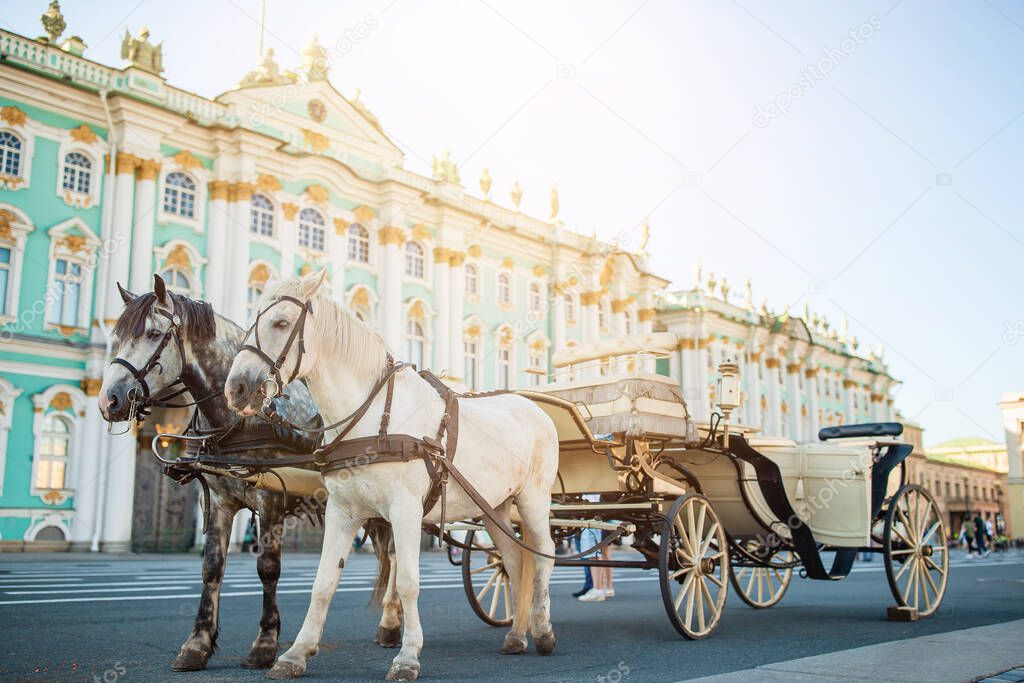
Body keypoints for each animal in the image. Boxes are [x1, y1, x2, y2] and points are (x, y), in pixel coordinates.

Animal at [226, 270, 561, 679]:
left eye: (281, 323)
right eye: (252, 317)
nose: (236, 388)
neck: (371, 418)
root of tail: (535, 407)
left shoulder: (405, 510)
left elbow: (407, 582)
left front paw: (407, 655)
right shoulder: (342, 511)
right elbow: (323, 583)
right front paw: (296, 654)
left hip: (533, 500)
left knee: (543, 555)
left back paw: (542, 631)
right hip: (494, 507)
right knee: (513, 559)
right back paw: (515, 635)